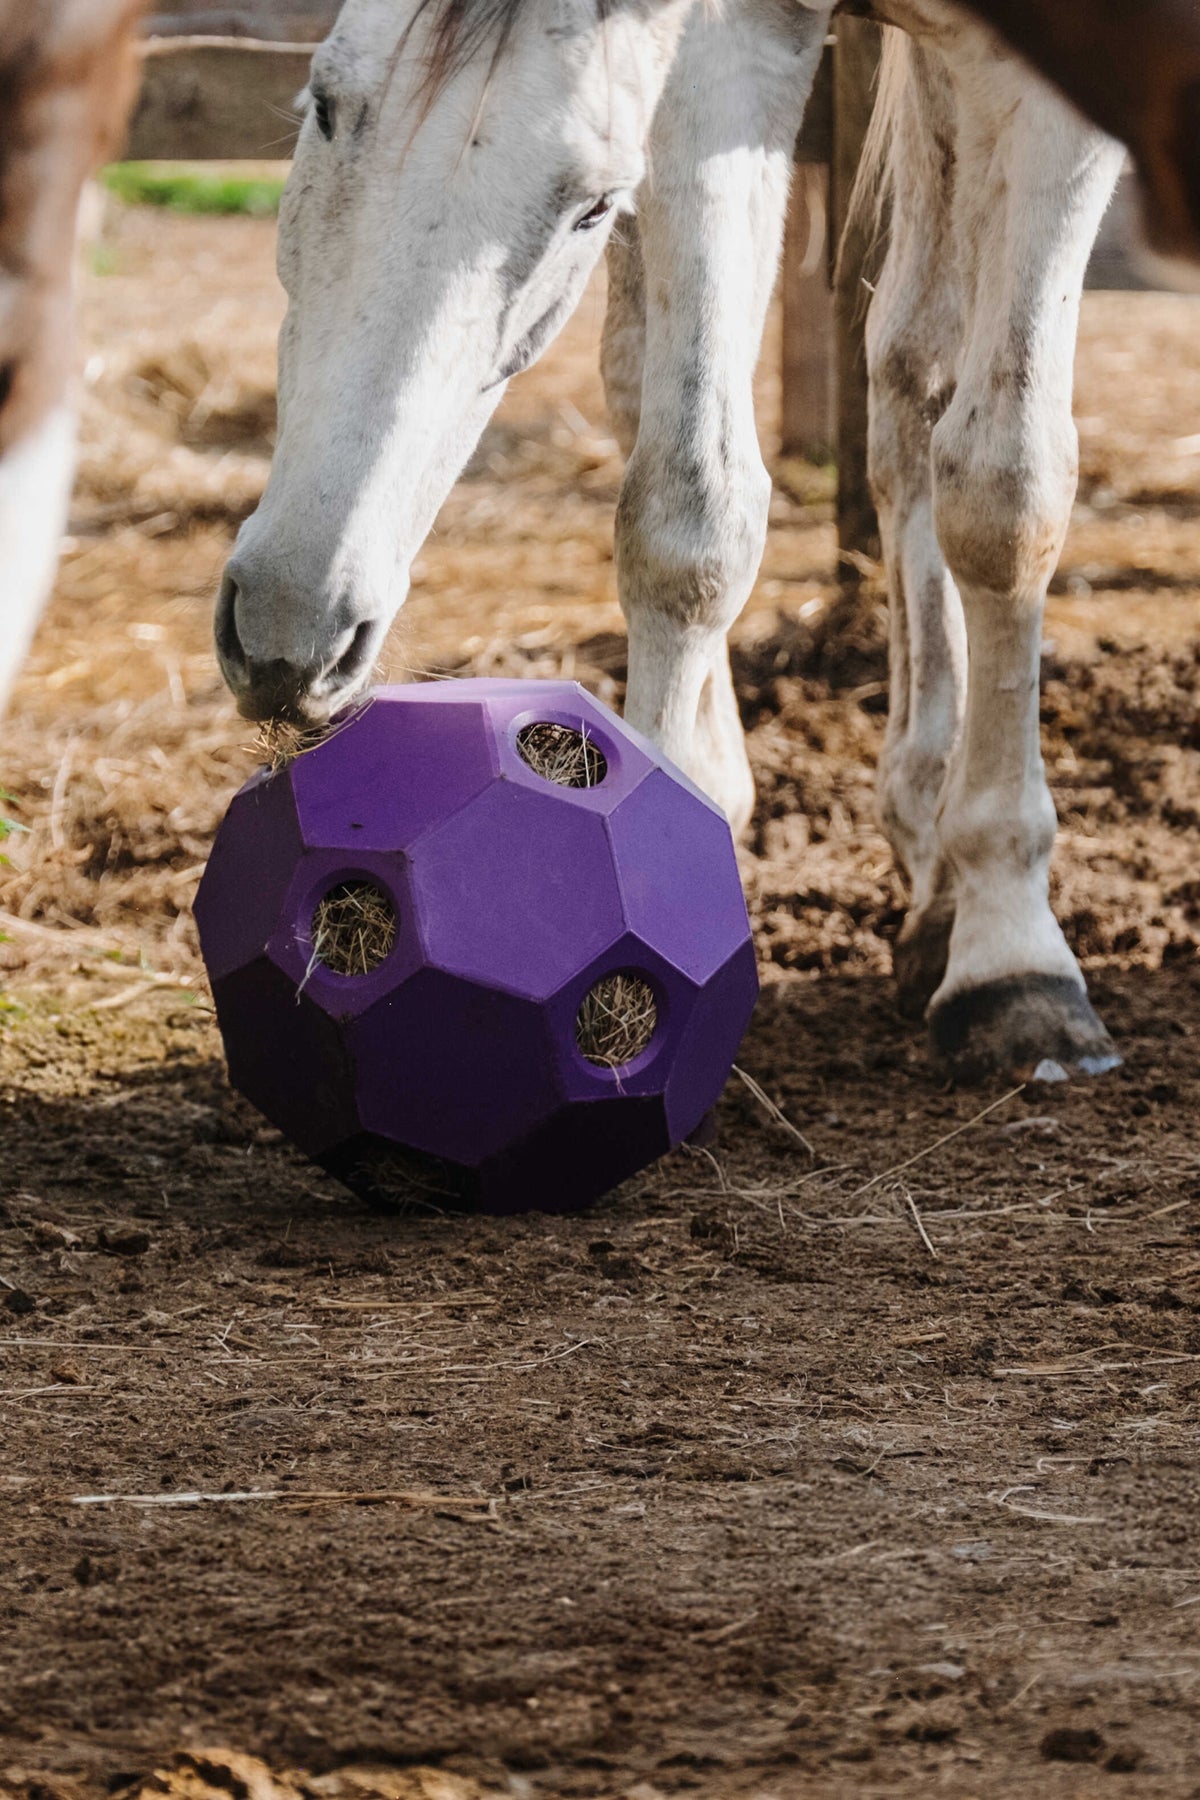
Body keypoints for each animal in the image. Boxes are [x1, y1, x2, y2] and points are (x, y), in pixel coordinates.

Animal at [216, 0, 1135, 1087]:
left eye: (589, 206)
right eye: (324, 106)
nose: (292, 622)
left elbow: (1006, 494)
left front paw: (1015, 964)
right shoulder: (726, 45)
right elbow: (693, 510)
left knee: (920, 377)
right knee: (841, 375)